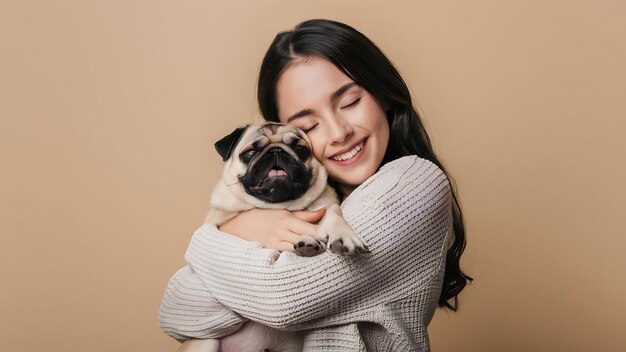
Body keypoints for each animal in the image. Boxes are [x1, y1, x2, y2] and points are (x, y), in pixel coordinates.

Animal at [189, 121, 366, 352]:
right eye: (249, 153)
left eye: (301, 149)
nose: (276, 151)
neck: (279, 206)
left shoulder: (327, 205)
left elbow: (333, 212)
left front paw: (340, 235)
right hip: (206, 343)